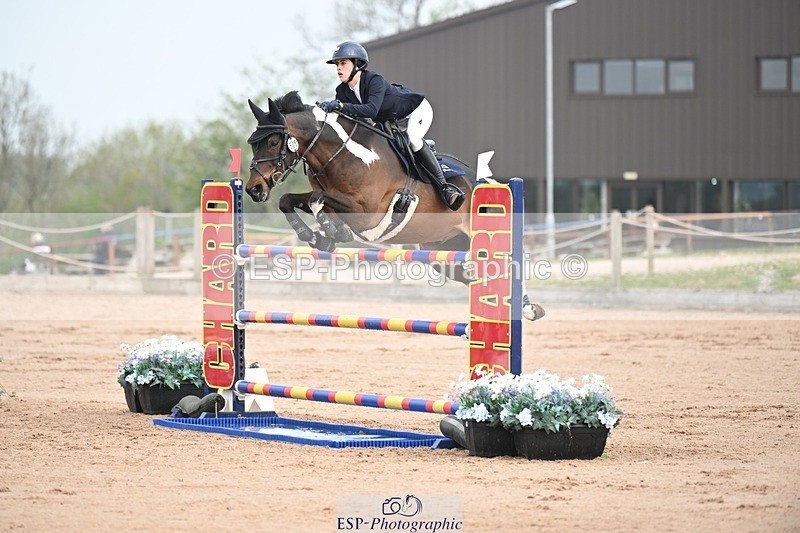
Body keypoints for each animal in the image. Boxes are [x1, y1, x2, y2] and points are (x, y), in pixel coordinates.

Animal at [246, 91, 544, 321]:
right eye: (253, 144)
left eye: (273, 141)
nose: (253, 189)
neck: (341, 153)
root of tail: (495, 184)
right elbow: (291, 200)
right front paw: (317, 235)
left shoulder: (366, 212)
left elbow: (317, 200)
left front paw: (330, 231)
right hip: (443, 249)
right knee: (473, 274)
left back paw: (527, 307)